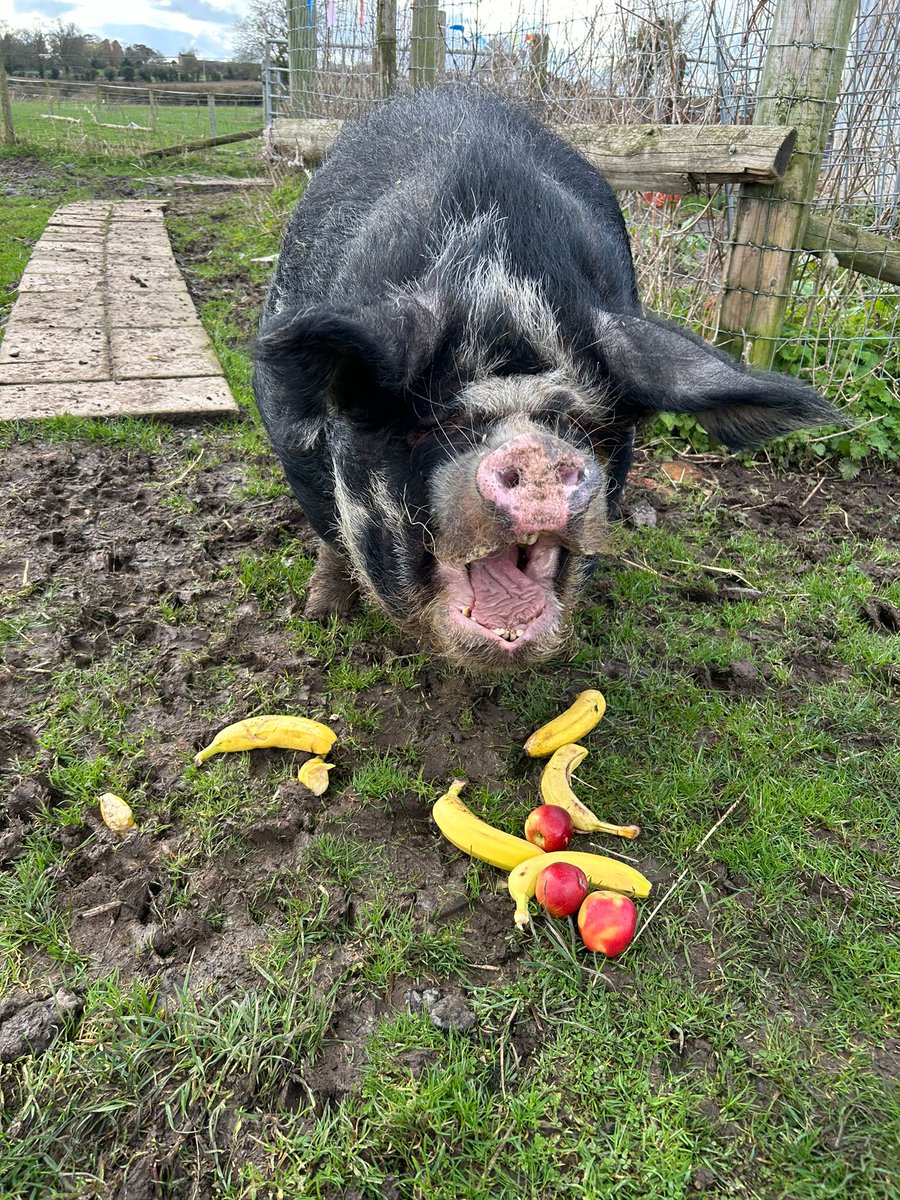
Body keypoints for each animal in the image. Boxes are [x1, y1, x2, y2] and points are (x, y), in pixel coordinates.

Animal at [252, 87, 840, 667]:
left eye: (579, 423)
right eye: (437, 422)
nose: (536, 452)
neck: (499, 286)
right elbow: (331, 534)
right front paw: (322, 614)